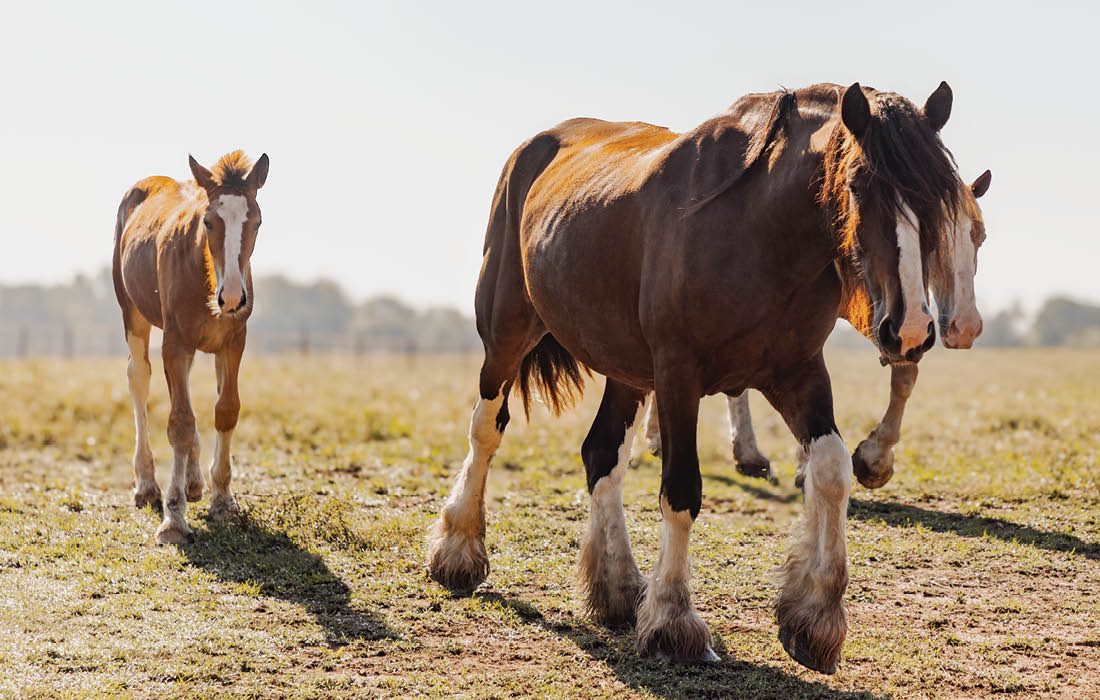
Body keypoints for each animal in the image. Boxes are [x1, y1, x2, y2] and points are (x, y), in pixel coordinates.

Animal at [110, 151, 269, 545]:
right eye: (208, 221)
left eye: (257, 222)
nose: (232, 298)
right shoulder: (175, 343)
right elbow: (180, 422)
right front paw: (174, 519)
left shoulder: (233, 342)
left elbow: (226, 411)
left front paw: (222, 500)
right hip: (132, 314)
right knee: (139, 379)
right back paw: (147, 484)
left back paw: (195, 482)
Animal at [429, 81, 963, 673]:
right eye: (859, 185)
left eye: (939, 195)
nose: (911, 329)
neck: (756, 233)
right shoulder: (678, 375)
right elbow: (682, 491)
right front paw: (673, 622)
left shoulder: (798, 371)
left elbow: (830, 472)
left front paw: (815, 616)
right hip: (507, 333)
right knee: (486, 430)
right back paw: (458, 551)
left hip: (626, 369)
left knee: (601, 454)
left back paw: (618, 588)